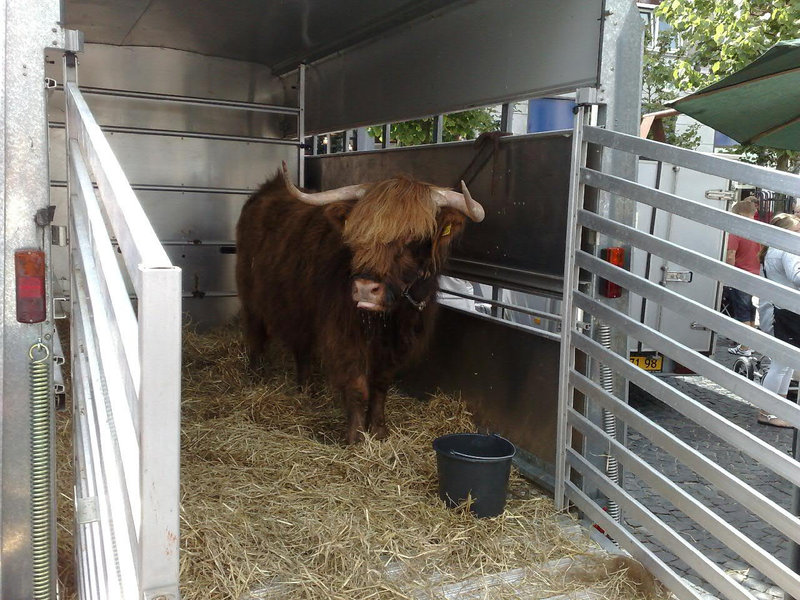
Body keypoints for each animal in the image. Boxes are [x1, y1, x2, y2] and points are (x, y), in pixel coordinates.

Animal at [231, 162, 482, 442]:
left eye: (414, 238)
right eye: (358, 234)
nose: (364, 289)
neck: (392, 317)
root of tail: (268, 189)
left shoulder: (397, 344)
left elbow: (381, 384)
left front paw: (379, 430)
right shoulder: (345, 337)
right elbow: (357, 385)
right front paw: (356, 437)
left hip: (300, 308)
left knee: (302, 347)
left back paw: (306, 389)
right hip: (251, 295)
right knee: (256, 335)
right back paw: (255, 377)